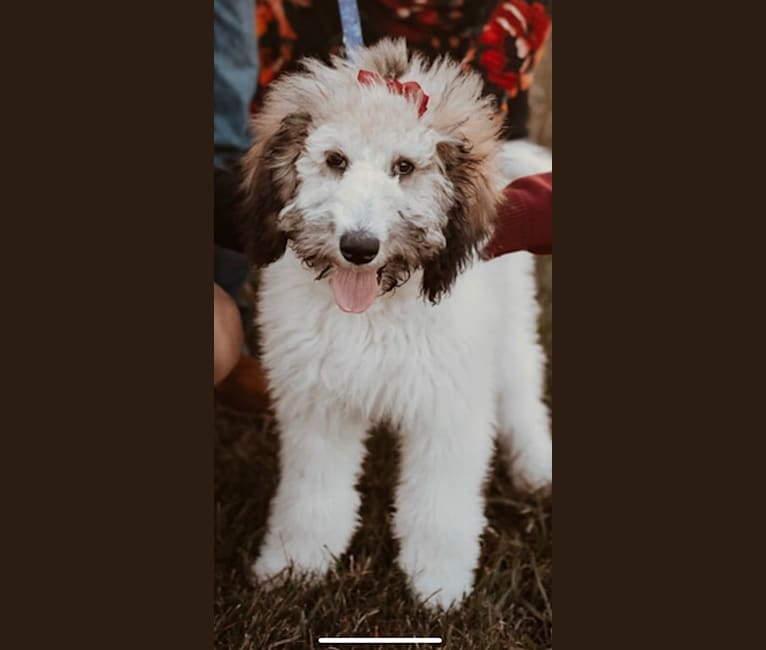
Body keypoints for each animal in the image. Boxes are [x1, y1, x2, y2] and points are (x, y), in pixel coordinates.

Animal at [240, 39, 552, 608]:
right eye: (335, 160)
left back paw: (536, 466)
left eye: (404, 167)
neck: (372, 310)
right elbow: (312, 495)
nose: (359, 247)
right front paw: (294, 566)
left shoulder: (447, 409)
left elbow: (439, 507)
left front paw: (438, 585)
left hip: (511, 325)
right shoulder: (317, 408)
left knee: (522, 386)